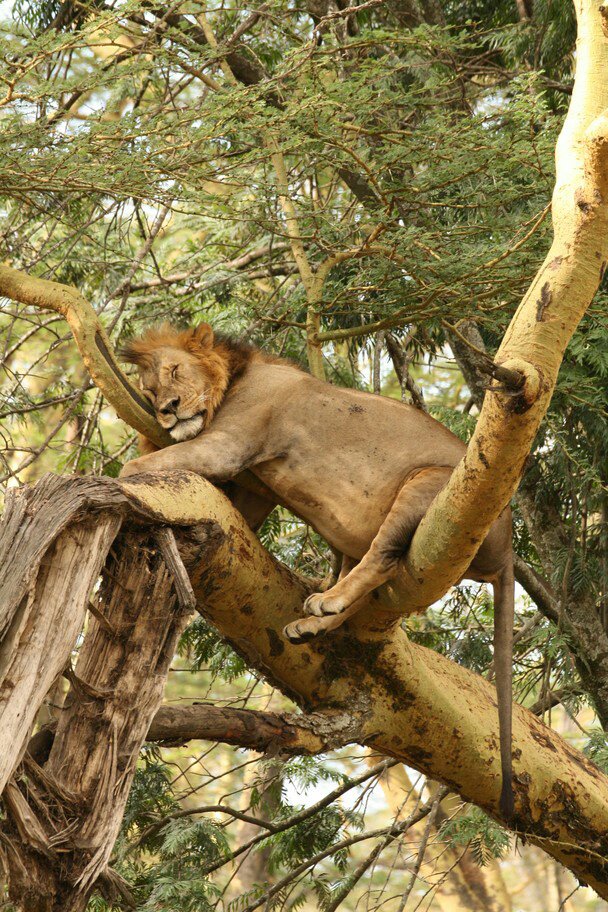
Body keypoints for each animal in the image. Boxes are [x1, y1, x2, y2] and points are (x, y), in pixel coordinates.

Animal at [120, 321, 515, 819]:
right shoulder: (251, 494)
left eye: (175, 371)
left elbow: (138, 464)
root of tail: (509, 549)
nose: (167, 410)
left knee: (383, 559)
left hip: (430, 486)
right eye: (149, 390)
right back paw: (312, 624)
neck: (234, 377)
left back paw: (327, 602)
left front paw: (118, 476)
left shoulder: (227, 447)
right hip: (353, 536)